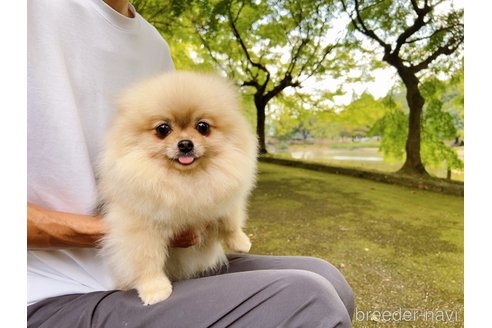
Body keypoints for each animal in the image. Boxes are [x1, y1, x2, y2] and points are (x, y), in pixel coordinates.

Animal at [97, 72, 258, 304]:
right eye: (163, 129)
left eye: (203, 127)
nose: (185, 144)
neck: (184, 180)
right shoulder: (140, 226)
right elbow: (147, 259)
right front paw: (155, 289)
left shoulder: (224, 194)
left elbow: (230, 220)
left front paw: (240, 241)